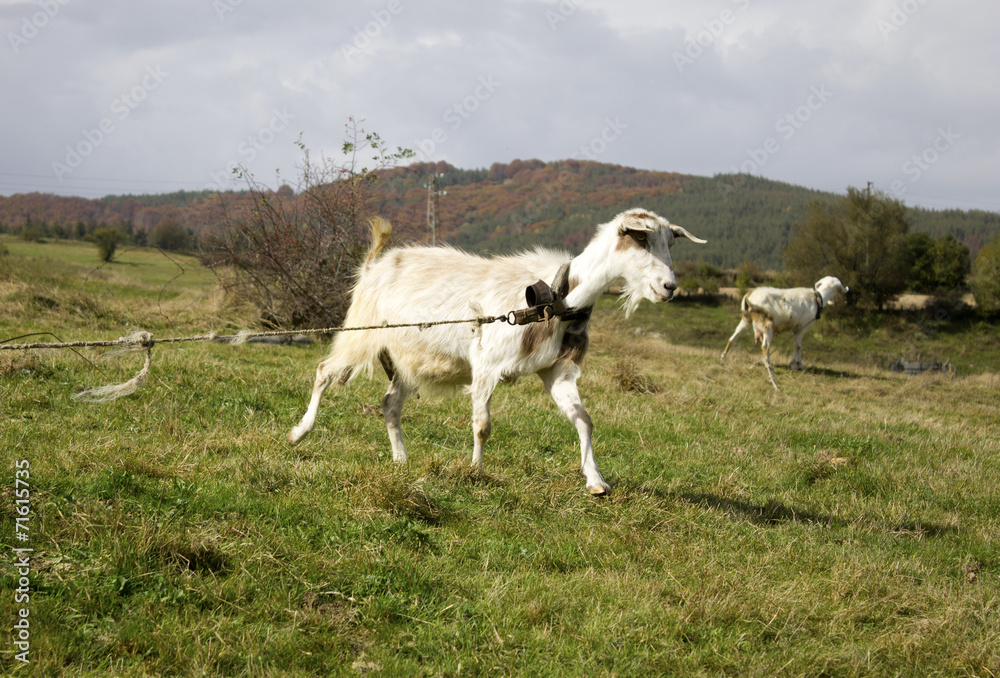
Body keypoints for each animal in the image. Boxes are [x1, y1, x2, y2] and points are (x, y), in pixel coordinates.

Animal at [288, 208, 706, 494]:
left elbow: (584, 419)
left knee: (390, 403)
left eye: (670, 242)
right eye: (641, 240)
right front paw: (475, 471)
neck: (558, 295)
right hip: (361, 333)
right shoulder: (486, 364)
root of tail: (374, 265)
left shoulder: (556, 370)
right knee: (324, 370)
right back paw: (299, 433)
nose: (669, 287)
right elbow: (482, 425)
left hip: (413, 360)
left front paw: (596, 481)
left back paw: (401, 460)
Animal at [720, 276, 849, 389]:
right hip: (767, 325)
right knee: (764, 346)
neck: (817, 299)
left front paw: (795, 364)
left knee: (733, 338)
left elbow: (796, 346)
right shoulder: (802, 327)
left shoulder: (796, 329)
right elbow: (798, 346)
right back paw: (770, 367)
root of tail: (749, 298)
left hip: (746, 320)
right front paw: (797, 365)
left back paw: (723, 357)